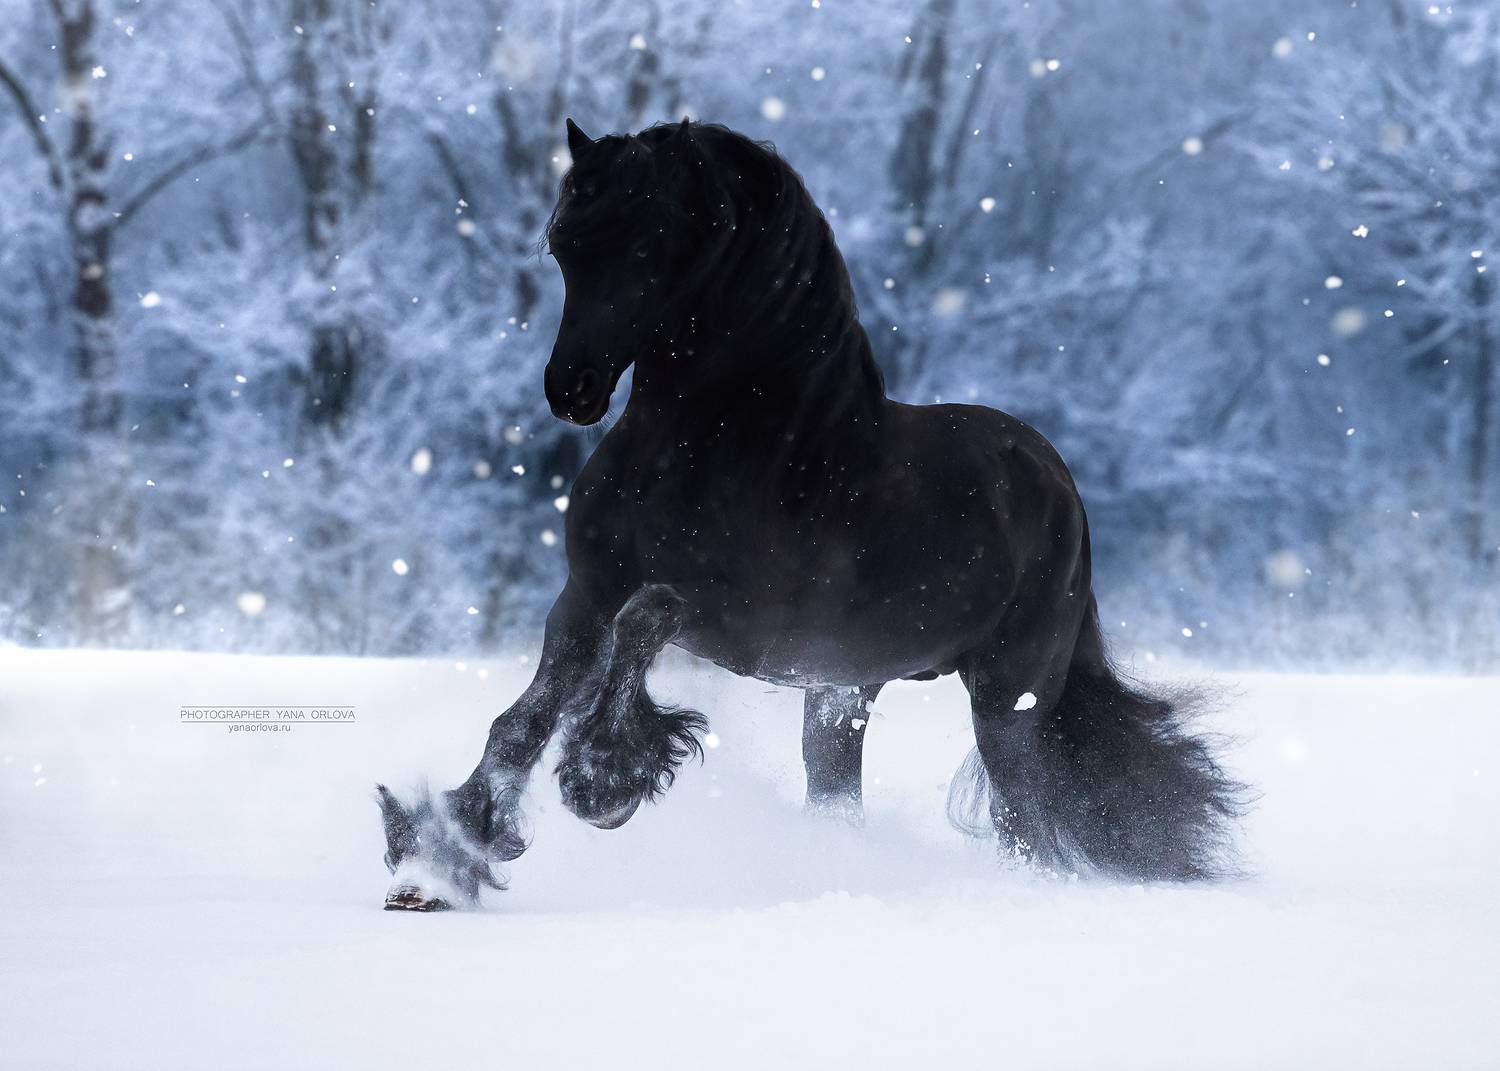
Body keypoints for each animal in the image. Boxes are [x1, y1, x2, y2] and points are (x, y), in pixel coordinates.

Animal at [377, 118, 1244, 910]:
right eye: (563, 245)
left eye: (648, 245)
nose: (572, 388)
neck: (725, 442)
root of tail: (1061, 489)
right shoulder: (585, 597)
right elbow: (521, 720)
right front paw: (438, 860)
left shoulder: (736, 623)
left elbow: (648, 617)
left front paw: (604, 779)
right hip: (842, 694)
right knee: (845, 796)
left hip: (1008, 698)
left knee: (1026, 816)